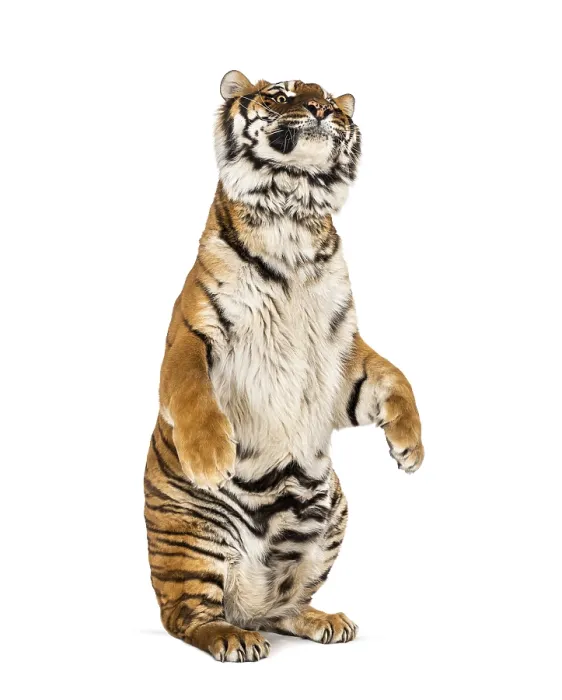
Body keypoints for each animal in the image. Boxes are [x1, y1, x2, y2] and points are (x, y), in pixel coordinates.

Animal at [144, 70, 424, 663]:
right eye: (281, 94)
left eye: (331, 100)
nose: (323, 110)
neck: (292, 212)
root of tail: (246, 609)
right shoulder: (192, 329)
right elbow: (190, 388)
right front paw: (210, 456)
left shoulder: (343, 353)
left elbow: (395, 377)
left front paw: (410, 448)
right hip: (196, 539)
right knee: (187, 617)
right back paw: (231, 638)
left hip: (333, 515)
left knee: (282, 606)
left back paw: (323, 620)